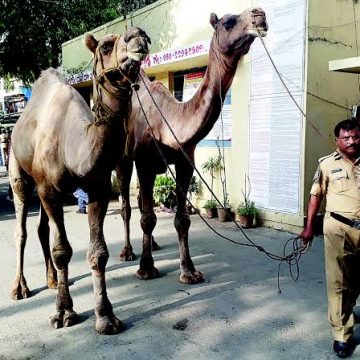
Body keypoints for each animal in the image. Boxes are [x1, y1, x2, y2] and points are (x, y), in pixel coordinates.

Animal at [8, 27, 150, 334]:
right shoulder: (49, 189)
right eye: (106, 45)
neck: (72, 145)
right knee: (22, 229)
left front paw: (106, 317)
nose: (138, 35)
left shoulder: (97, 187)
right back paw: (20, 288)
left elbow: (98, 253)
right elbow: (62, 250)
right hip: (19, 171)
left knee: (42, 229)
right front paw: (63, 313)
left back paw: (51, 280)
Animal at [115, 8, 268, 282]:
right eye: (228, 22)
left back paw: (153, 245)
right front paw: (146, 269)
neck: (169, 123)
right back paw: (128, 252)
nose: (259, 14)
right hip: (124, 159)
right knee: (127, 206)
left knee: (142, 201)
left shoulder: (185, 162)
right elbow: (147, 217)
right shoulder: (144, 163)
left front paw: (189, 271)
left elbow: (182, 218)